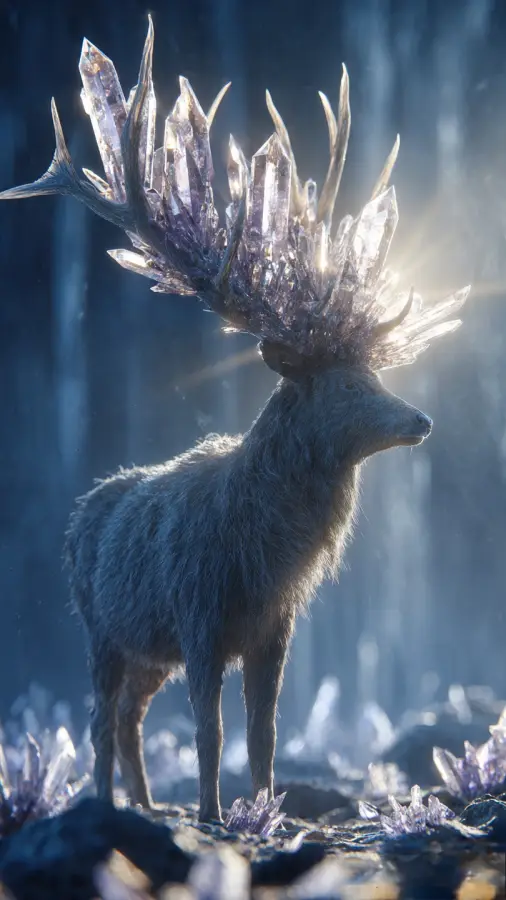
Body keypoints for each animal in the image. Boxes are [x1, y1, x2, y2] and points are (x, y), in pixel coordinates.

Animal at [0, 18, 470, 823]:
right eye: (345, 385)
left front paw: (264, 811)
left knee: (131, 717)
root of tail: (78, 515)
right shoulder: (199, 615)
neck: (264, 555)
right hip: (100, 627)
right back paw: (110, 805)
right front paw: (216, 814)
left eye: (377, 374)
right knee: (99, 719)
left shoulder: (274, 629)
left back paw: (146, 805)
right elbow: (210, 731)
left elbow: (265, 732)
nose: (421, 420)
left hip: (143, 646)